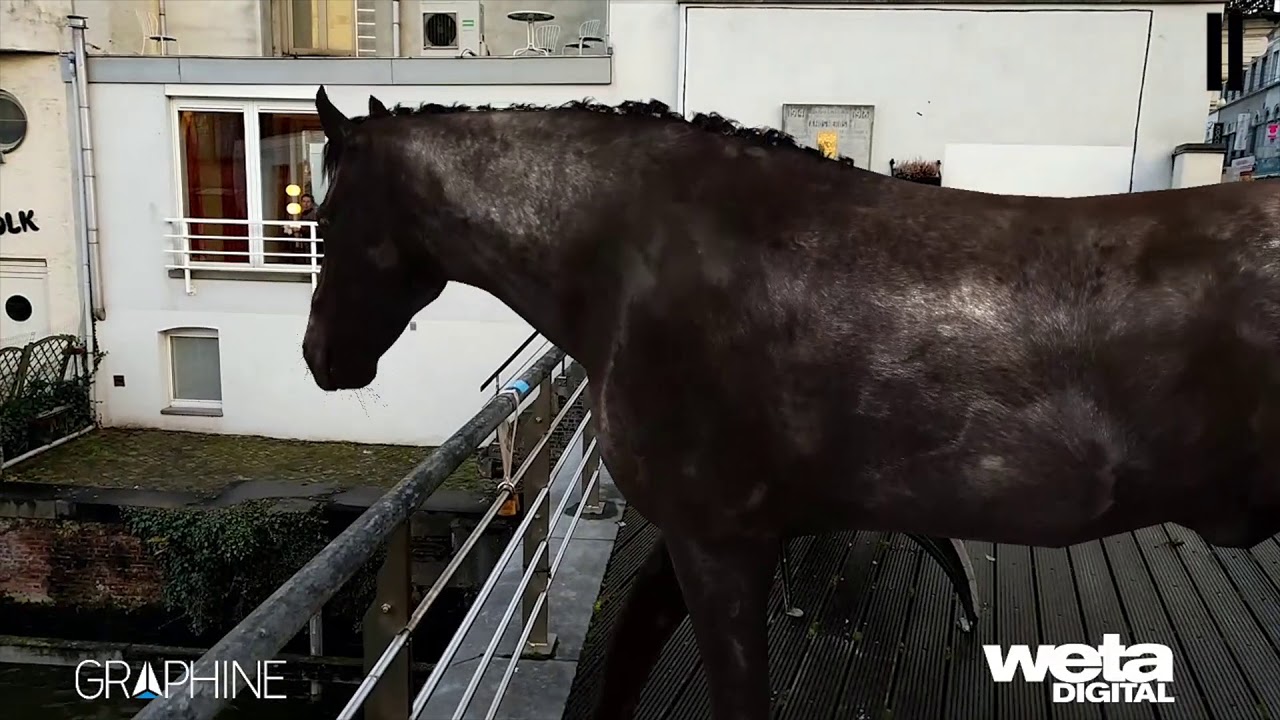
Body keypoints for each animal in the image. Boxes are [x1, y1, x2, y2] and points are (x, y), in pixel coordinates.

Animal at [301, 86, 1280, 720]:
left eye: (322, 215)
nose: (318, 358)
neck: (630, 258)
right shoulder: (720, 535)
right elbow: (629, 656)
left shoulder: (717, 541)